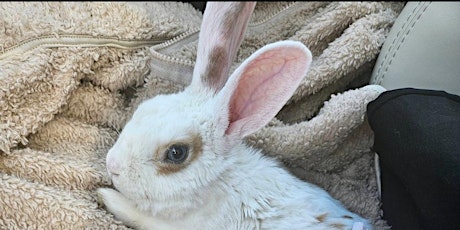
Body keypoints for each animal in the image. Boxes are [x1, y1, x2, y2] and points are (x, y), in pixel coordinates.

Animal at [96, 1, 370, 230]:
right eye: (143, 108)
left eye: (176, 153)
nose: (112, 164)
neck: (219, 185)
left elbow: (136, 214)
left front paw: (105, 196)